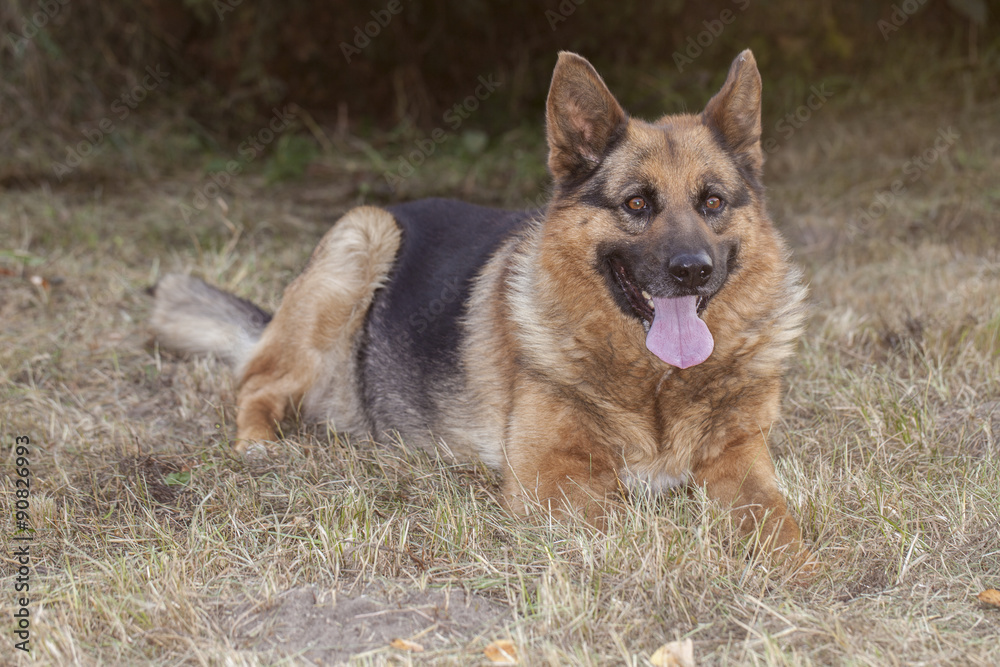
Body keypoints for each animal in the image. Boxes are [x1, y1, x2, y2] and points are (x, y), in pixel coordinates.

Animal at [154, 51, 812, 564]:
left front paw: (792, 566)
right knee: (255, 382)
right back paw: (260, 444)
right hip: (362, 237)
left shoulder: (741, 456)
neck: (656, 383)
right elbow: (622, 525)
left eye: (713, 202)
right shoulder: (547, 473)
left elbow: (776, 517)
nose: (692, 270)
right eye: (636, 204)